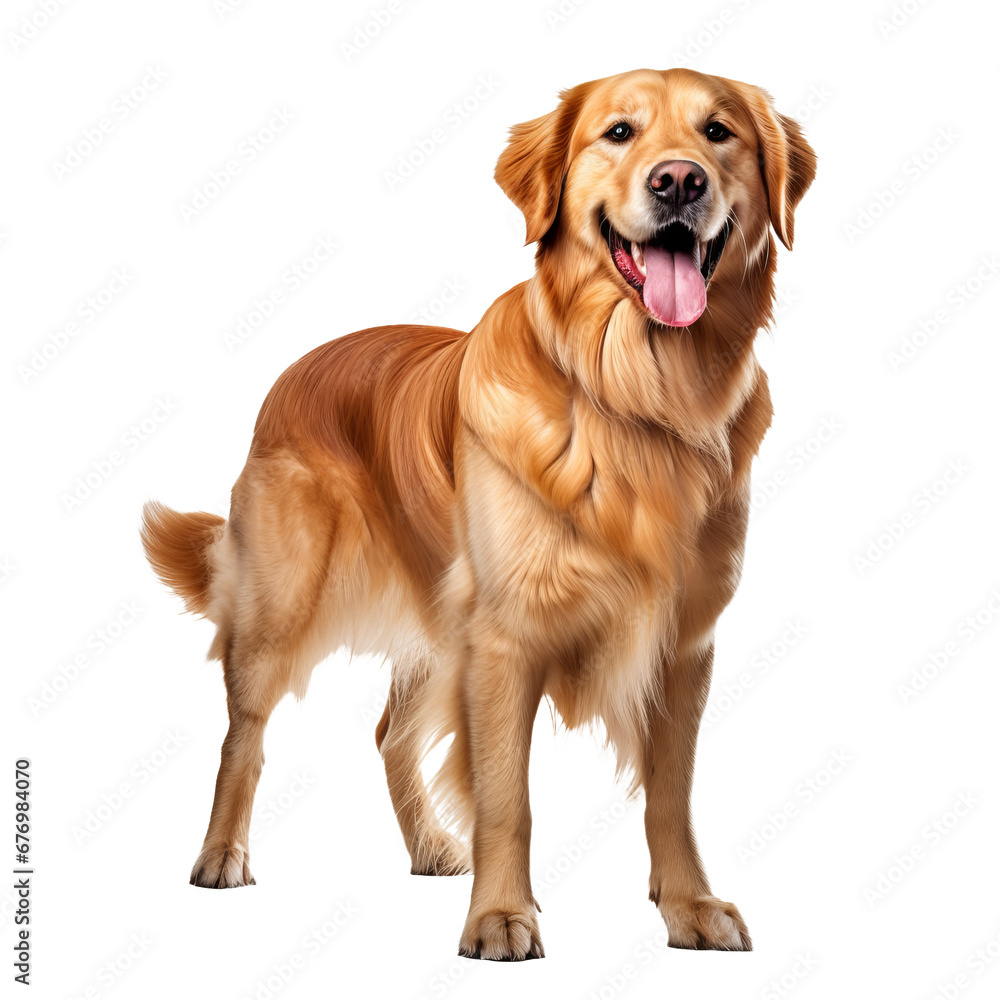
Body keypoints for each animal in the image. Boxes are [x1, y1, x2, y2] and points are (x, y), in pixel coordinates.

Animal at [143, 68, 812, 960]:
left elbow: (671, 794)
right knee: (241, 734)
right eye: (620, 132)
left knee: (389, 733)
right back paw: (221, 855)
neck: (634, 400)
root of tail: (296, 368)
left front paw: (689, 906)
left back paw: (429, 845)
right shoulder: (504, 636)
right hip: (284, 607)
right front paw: (499, 918)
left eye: (718, 132)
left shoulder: (683, 642)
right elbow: (505, 796)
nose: (680, 182)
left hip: (438, 620)